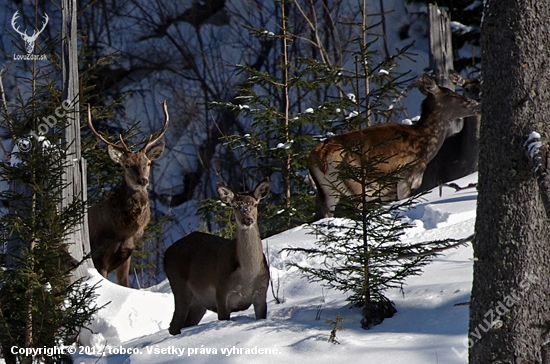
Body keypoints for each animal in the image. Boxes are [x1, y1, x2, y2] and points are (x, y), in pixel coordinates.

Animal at [87, 101, 169, 286]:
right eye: (127, 165)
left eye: (148, 163)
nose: (142, 181)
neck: (124, 231)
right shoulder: (99, 254)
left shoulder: (126, 255)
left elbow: (125, 284)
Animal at [310, 72, 484, 218]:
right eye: (453, 94)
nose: (477, 105)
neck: (425, 145)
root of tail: (320, 155)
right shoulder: (405, 177)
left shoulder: (387, 190)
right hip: (356, 183)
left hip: (325, 192)